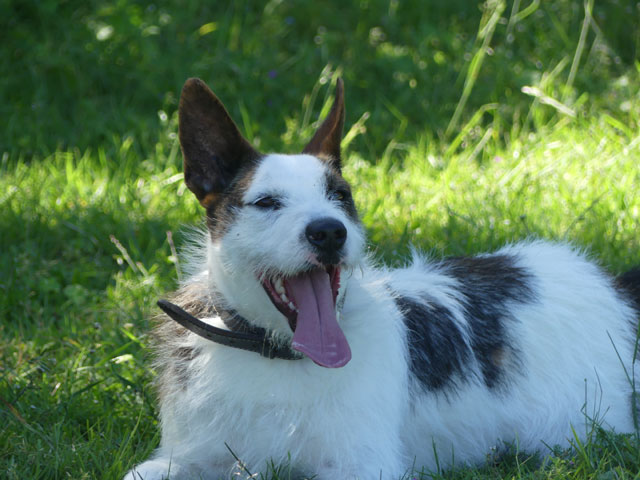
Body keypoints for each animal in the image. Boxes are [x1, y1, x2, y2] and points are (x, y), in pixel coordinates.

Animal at [125, 77, 640, 478]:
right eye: (267, 202)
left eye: (341, 195)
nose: (329, 231)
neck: (274, 351)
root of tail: (609, 288)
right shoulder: (183, 457)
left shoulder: (360, 466)